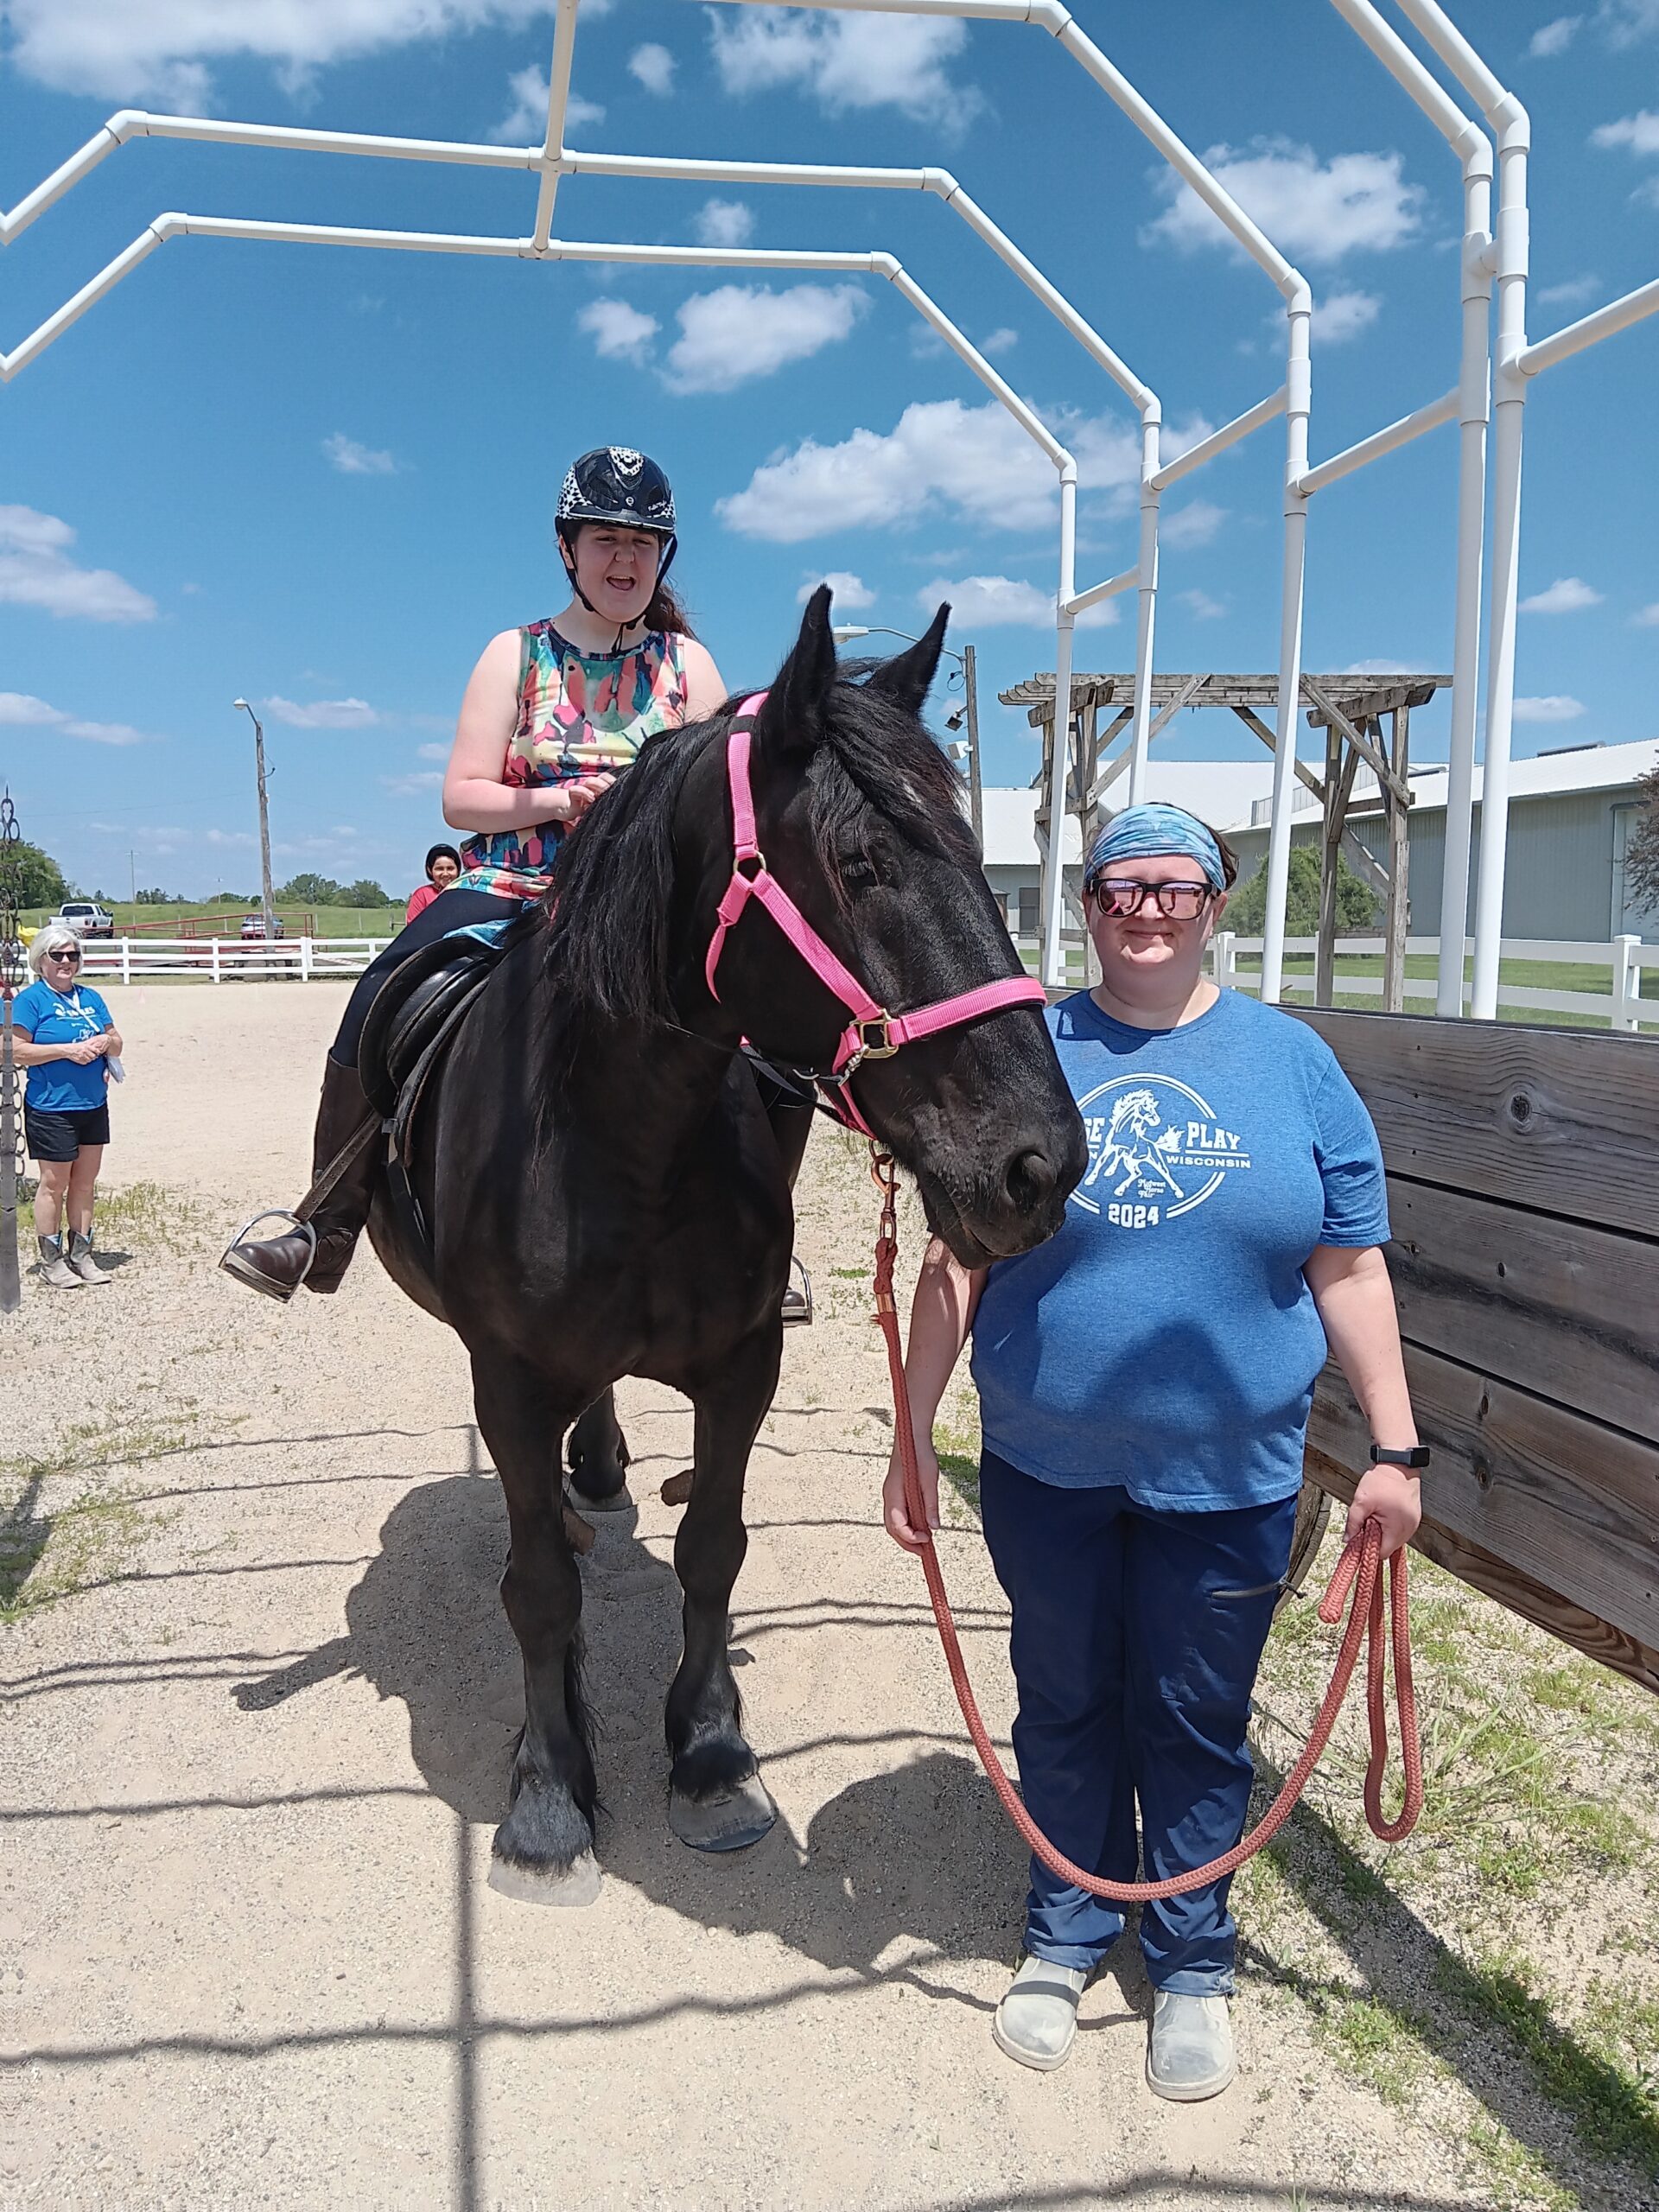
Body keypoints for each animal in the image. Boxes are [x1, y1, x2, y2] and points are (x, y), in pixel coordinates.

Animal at [363, 586, 1087, 1903]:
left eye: (981, 861)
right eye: (859, 864)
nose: (1040, 1164)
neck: (622, 1142)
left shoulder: (744, 1366)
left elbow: (714, 1548)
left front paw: (707, 1754)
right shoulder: (509, 1379)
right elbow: (537, 1587)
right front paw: (550, 1792)